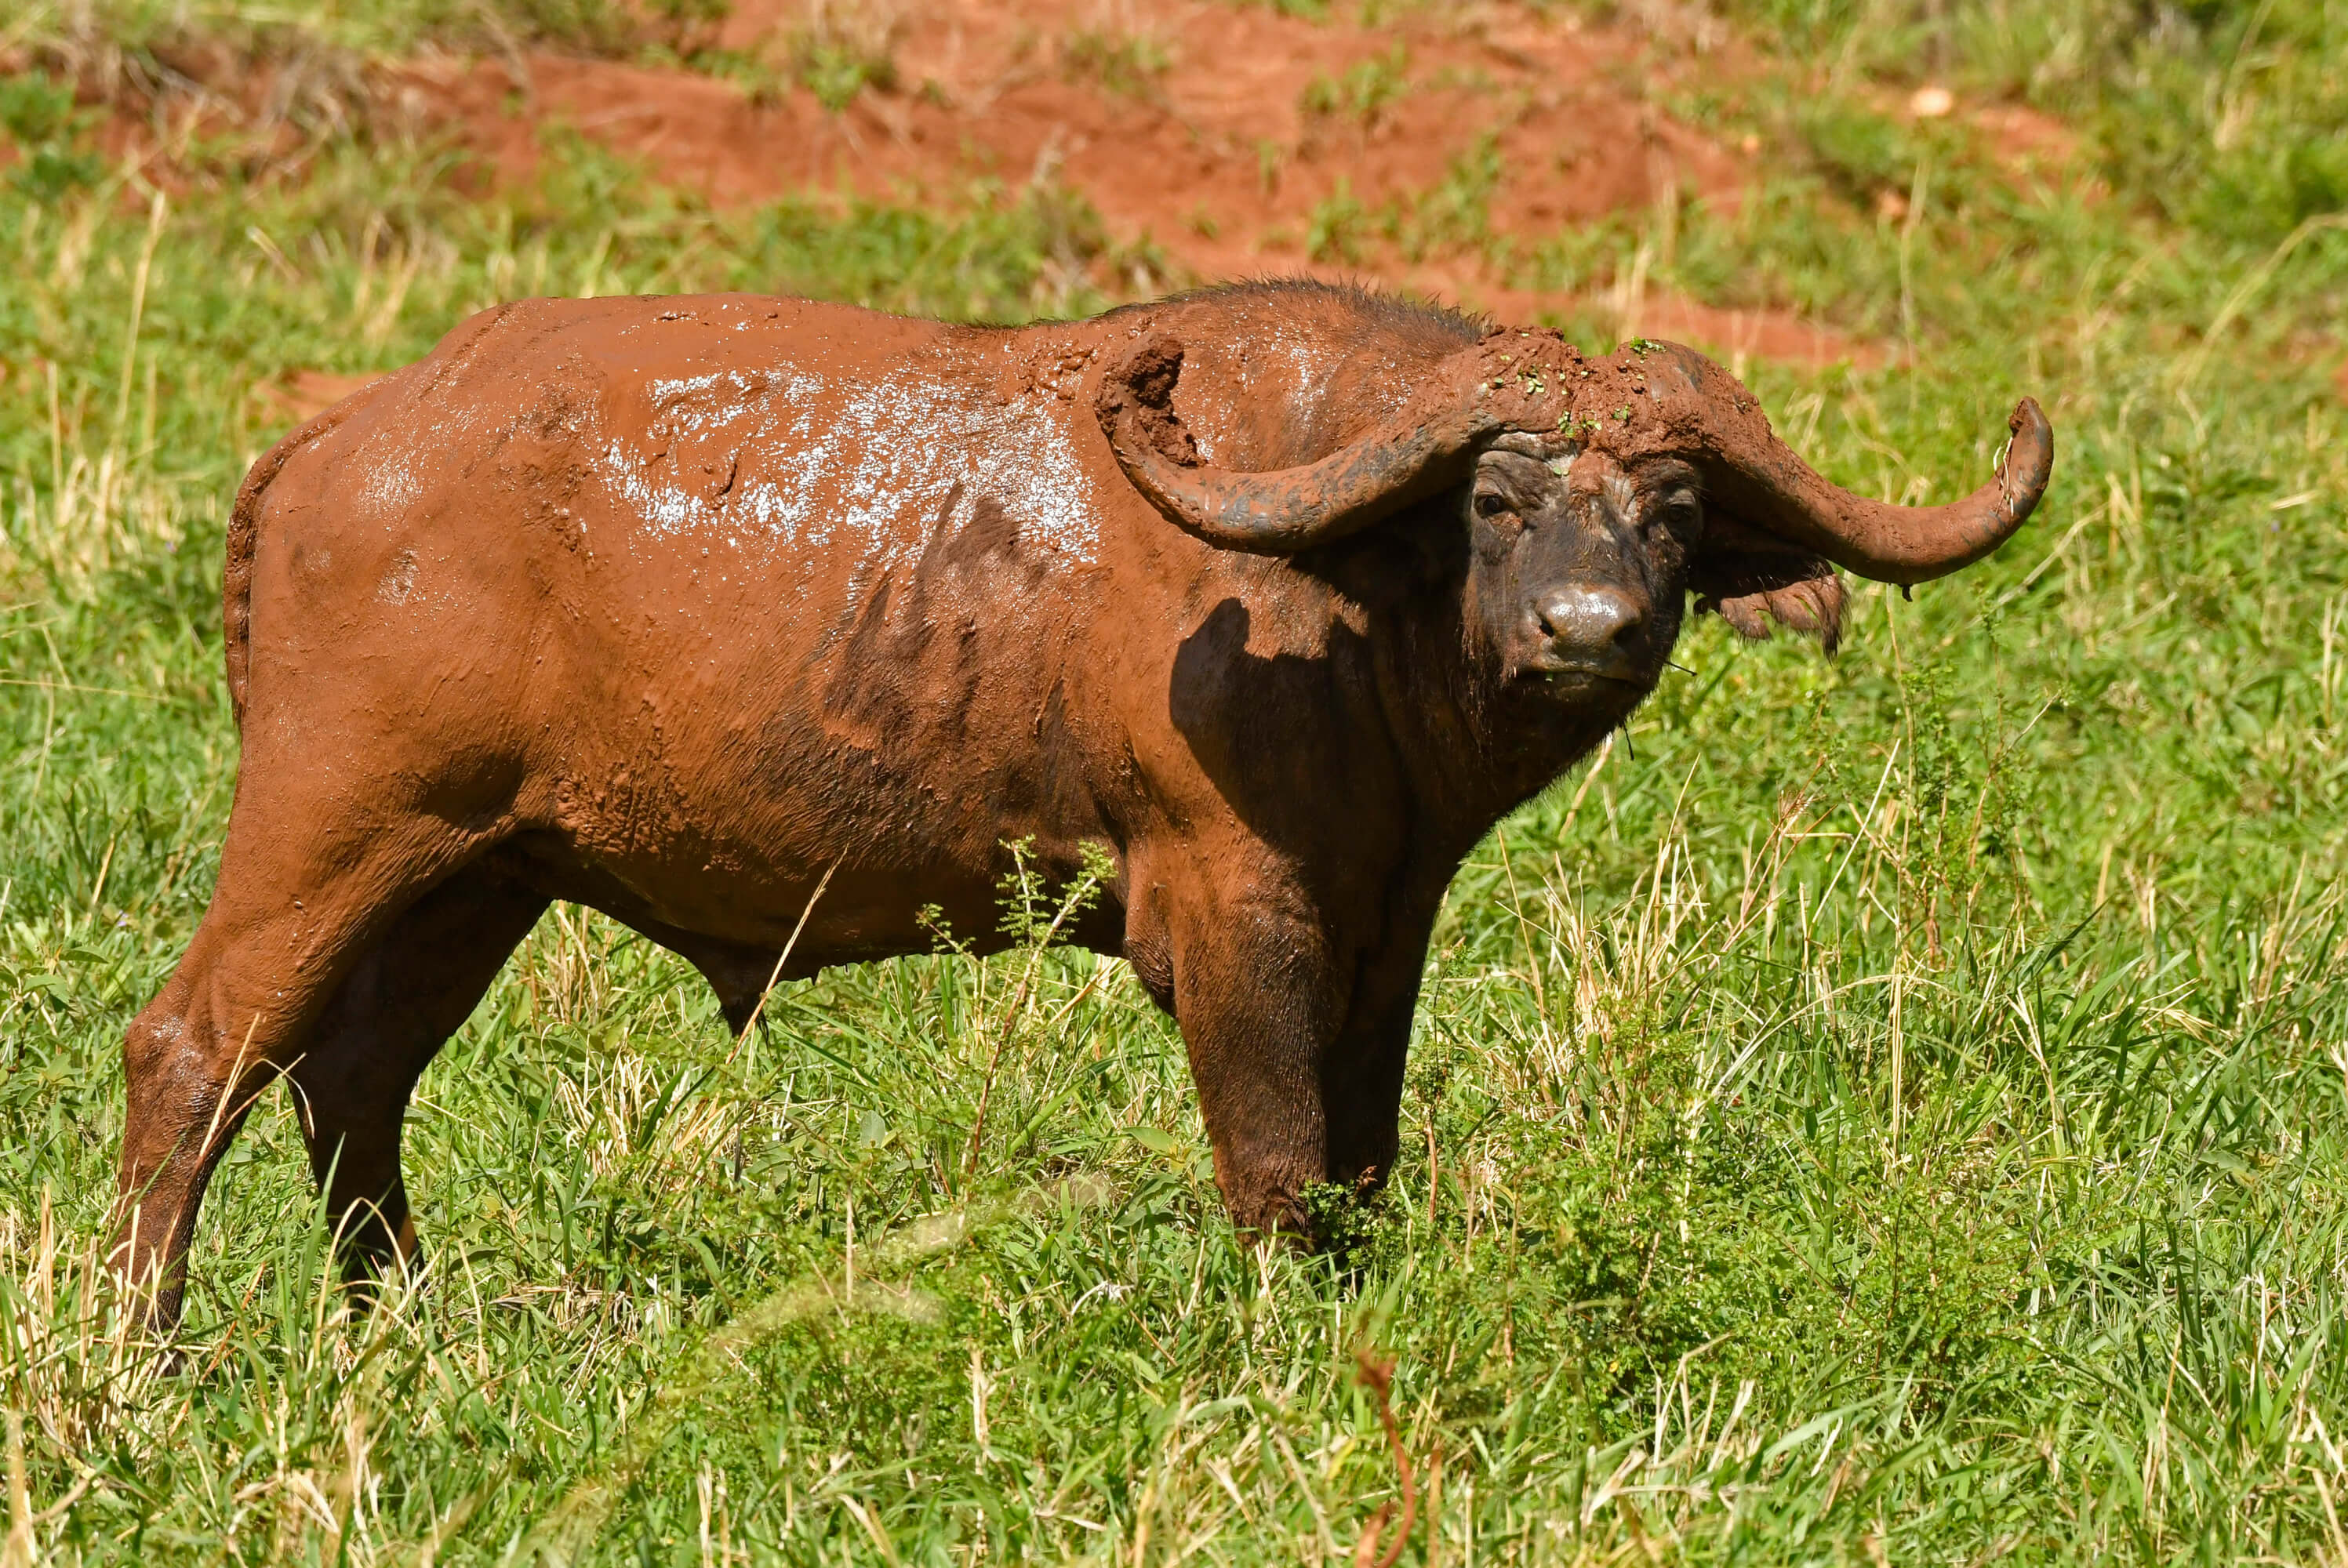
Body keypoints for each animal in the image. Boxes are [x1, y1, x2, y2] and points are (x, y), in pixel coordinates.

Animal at [110, 285, 2047, 1323]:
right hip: (338, 825)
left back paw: (399, 1324)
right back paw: (154, 1353)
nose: (1588, 632)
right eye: (1494, 502)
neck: (1339, 595)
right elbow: (1274, 1168)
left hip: (480, 871)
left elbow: (1362, 1164)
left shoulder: (1383, 926)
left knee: (353, 1076)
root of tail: (336, 448)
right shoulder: (1230, 912)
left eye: (1670, 509)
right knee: (195, 1048)